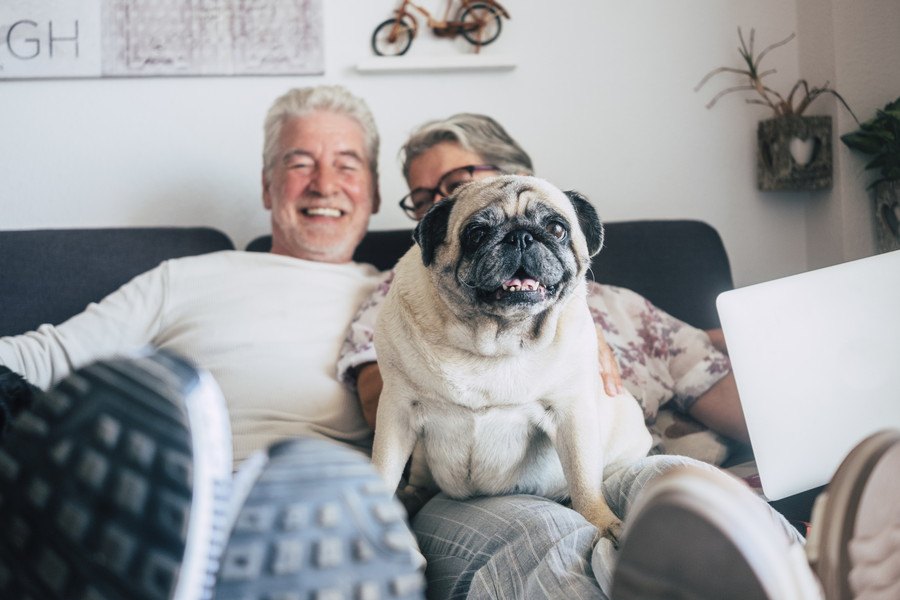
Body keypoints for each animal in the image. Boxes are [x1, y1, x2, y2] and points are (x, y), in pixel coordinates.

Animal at [372, 175, 652, 544]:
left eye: (556, 229)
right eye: (476, 234)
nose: (521, 236)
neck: (494, 341)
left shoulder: (572, 414)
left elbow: (583, 480)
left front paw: (603, 522)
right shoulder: (398, 410)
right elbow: (383, 467)